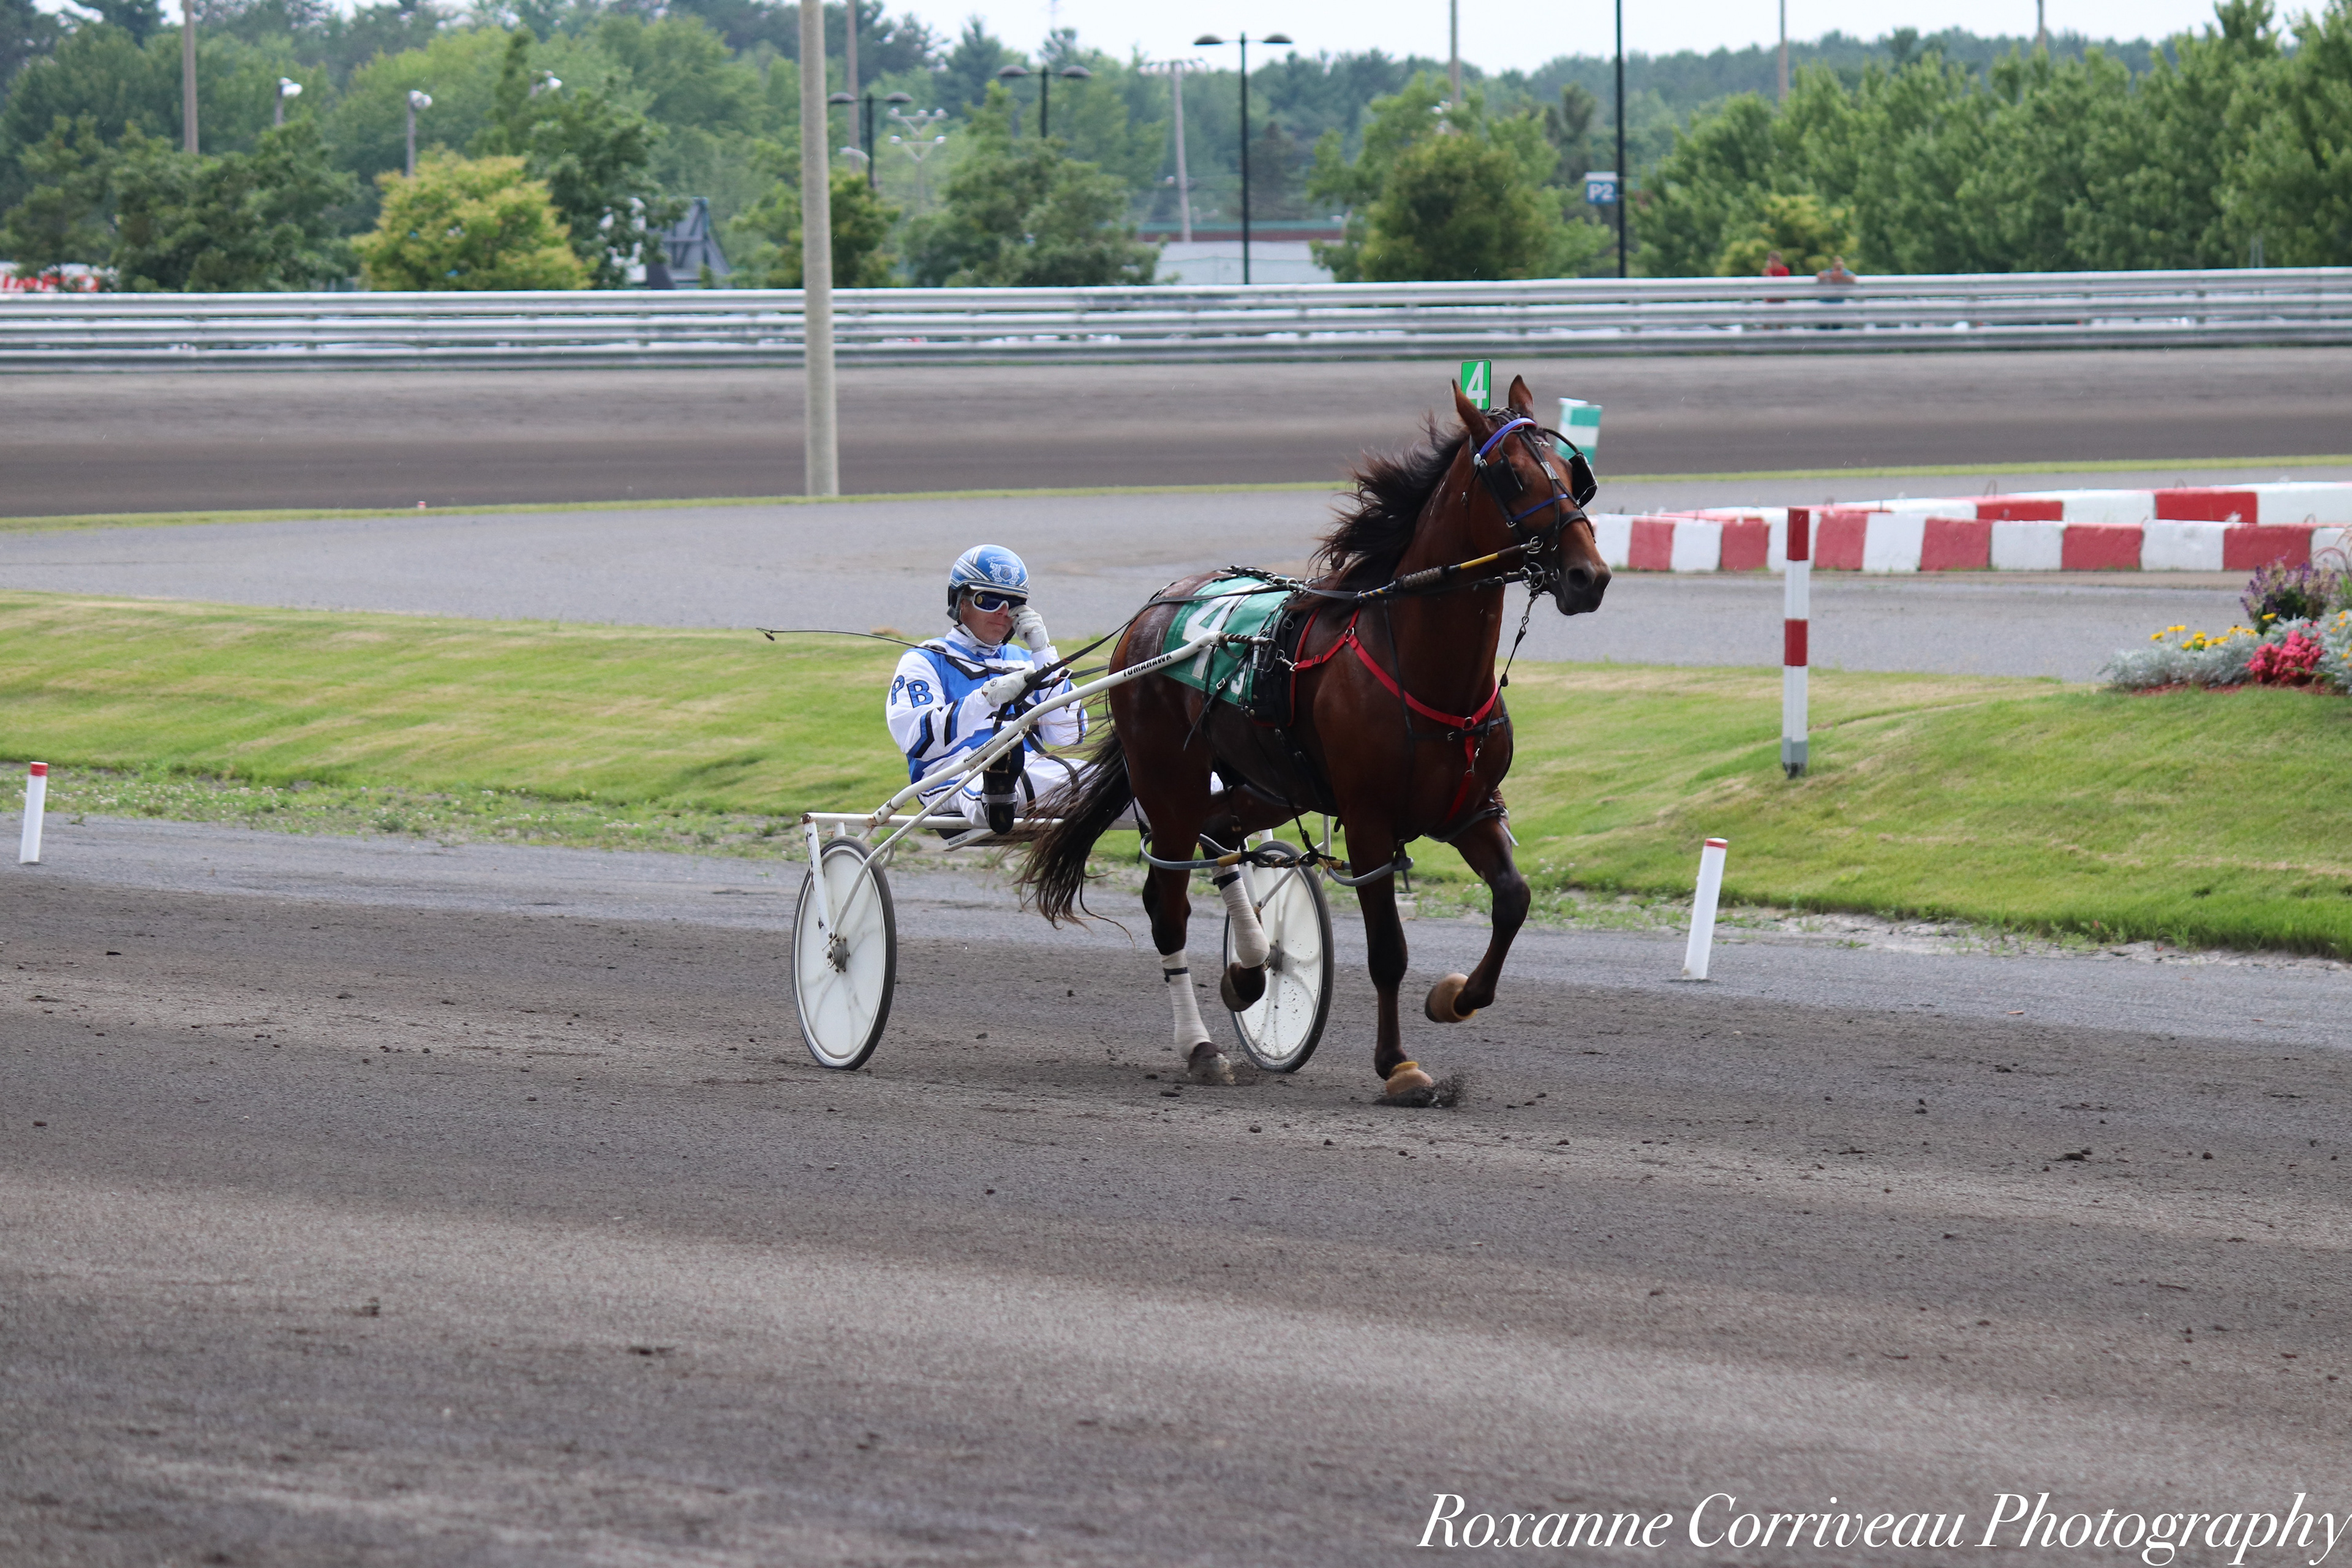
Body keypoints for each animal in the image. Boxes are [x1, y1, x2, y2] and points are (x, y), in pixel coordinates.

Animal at [1023, 375, 1611, 1104]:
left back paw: (1251, 968)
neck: (1421, 664)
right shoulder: (1368, 822)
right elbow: (1388, 950)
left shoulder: (1472, 810)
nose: (1590, 576)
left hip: (1269, 784)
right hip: (1168, 783)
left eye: (1571, 471)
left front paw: (1453, 998)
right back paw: (1201, 1046)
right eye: (1510, 475)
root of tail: (1153, 613)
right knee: (1167, 903)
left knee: (1220, 831)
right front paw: (1399, 1066)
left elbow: (1513, 900)